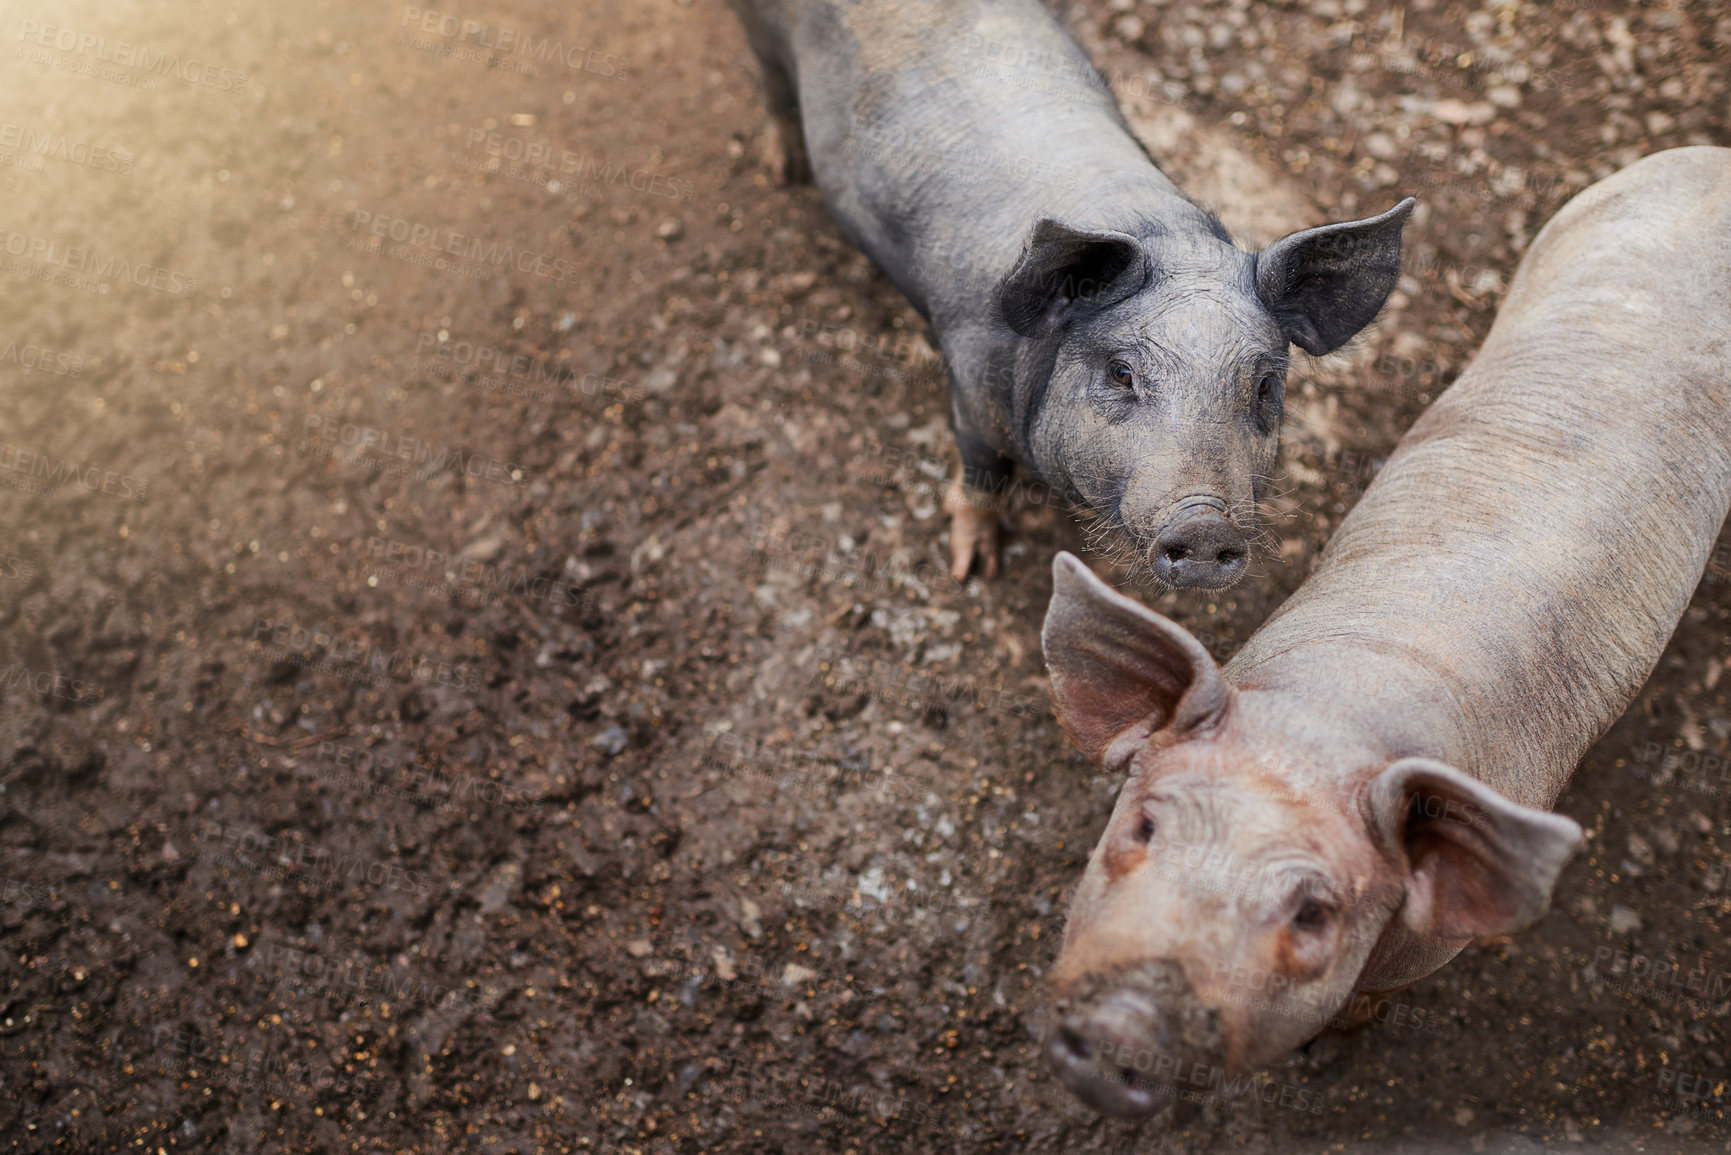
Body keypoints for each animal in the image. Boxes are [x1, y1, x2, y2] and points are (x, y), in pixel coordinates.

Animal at [723, 0, 1412, 588]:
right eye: (1121, 373)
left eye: (1266, 387)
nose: (1205, 525)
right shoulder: (970, 391)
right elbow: (982, 476)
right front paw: (972, 571)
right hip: (756, 29)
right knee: (771, 85)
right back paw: (780, 170)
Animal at [1031, 147, 1731, 1122]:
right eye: (1141, 825)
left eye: (1313, 912)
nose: (1123, 1022)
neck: (1334, 713)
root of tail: (1710, 159)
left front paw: (1325, 1060)